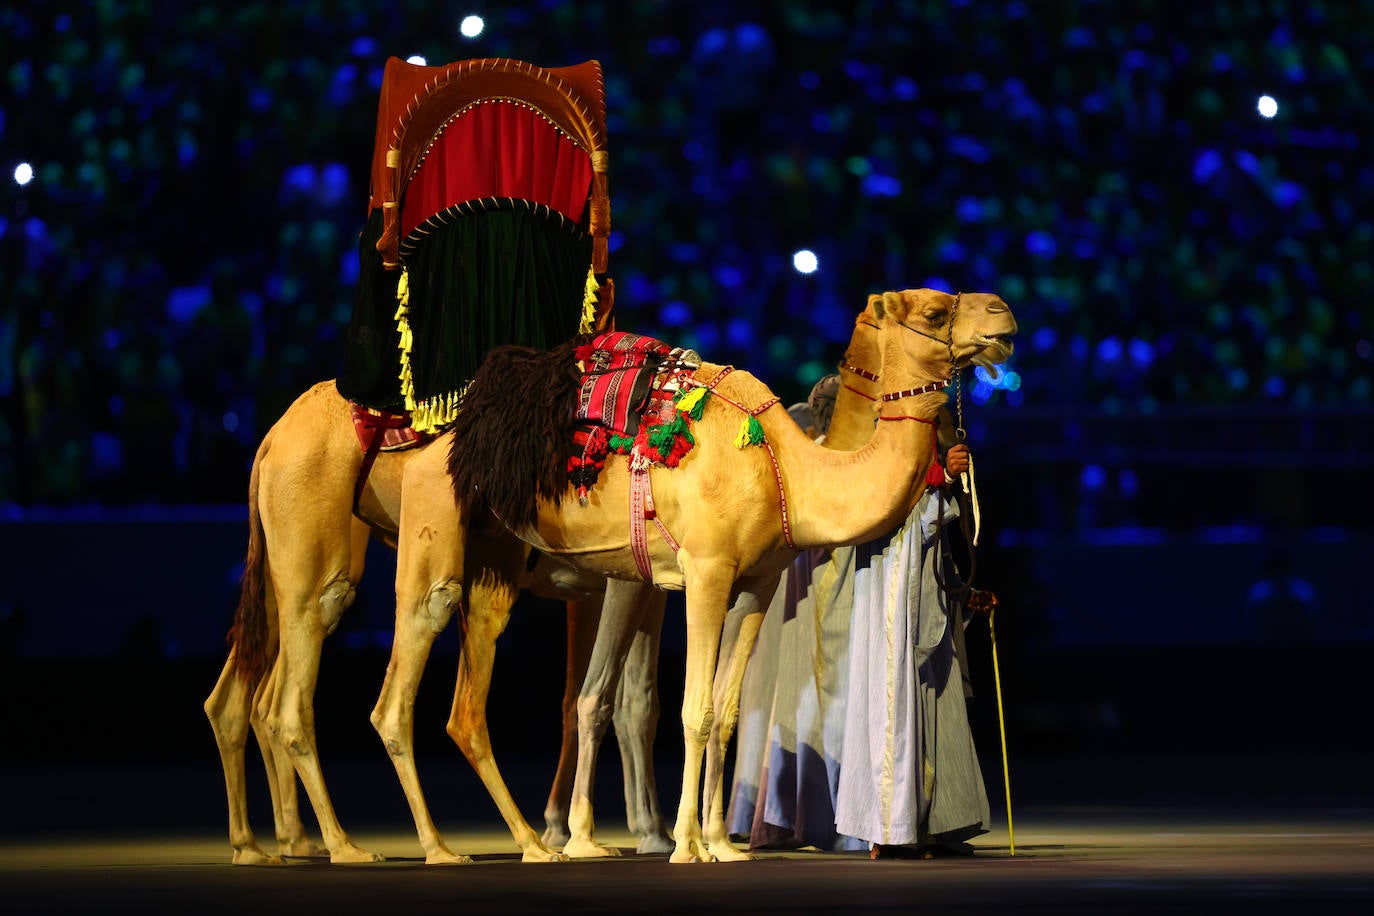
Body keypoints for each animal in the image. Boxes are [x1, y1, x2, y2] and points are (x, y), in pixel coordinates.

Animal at [428, 288, 1022, 867]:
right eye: (935, 312)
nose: (1004, 314)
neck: (784, 468)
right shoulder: (704, 571)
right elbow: (694, 709)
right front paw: (685, 846)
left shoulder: (757, 582)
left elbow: (726, 713)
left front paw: (721, 843)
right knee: (458, 695)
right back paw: (506, 846)